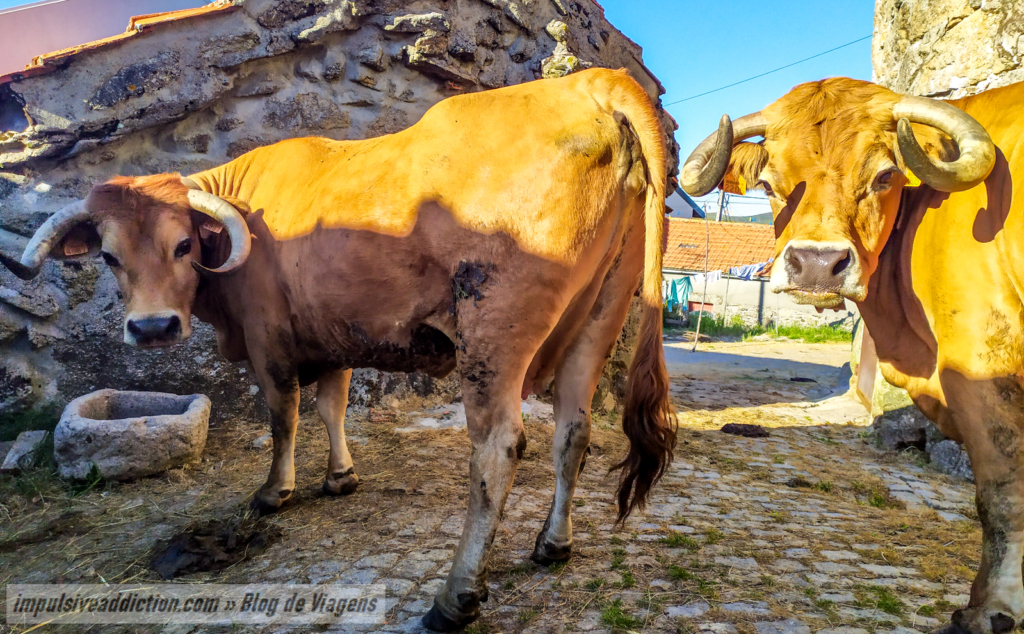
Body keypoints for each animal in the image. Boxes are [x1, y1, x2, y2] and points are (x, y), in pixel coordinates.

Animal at [0, 68, 676, 630]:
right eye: (109, 256)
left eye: (183, 245)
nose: (152, 328)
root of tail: (589, 82)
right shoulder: (335, 338)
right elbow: (331, 407)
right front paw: (340, 476)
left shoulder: (269, 340)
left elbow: (284, 417)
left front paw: (275, 492)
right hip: (598, 321)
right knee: (573, 433)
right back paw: (553, 545)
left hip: (494, 334)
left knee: (499, 449)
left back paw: (455, 597)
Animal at [679, 76, 1023, 634]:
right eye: (769, 184)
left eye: (884, 176)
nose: (818, 264)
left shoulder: (985, 369)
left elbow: (1001, 493)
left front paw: (992, 607)